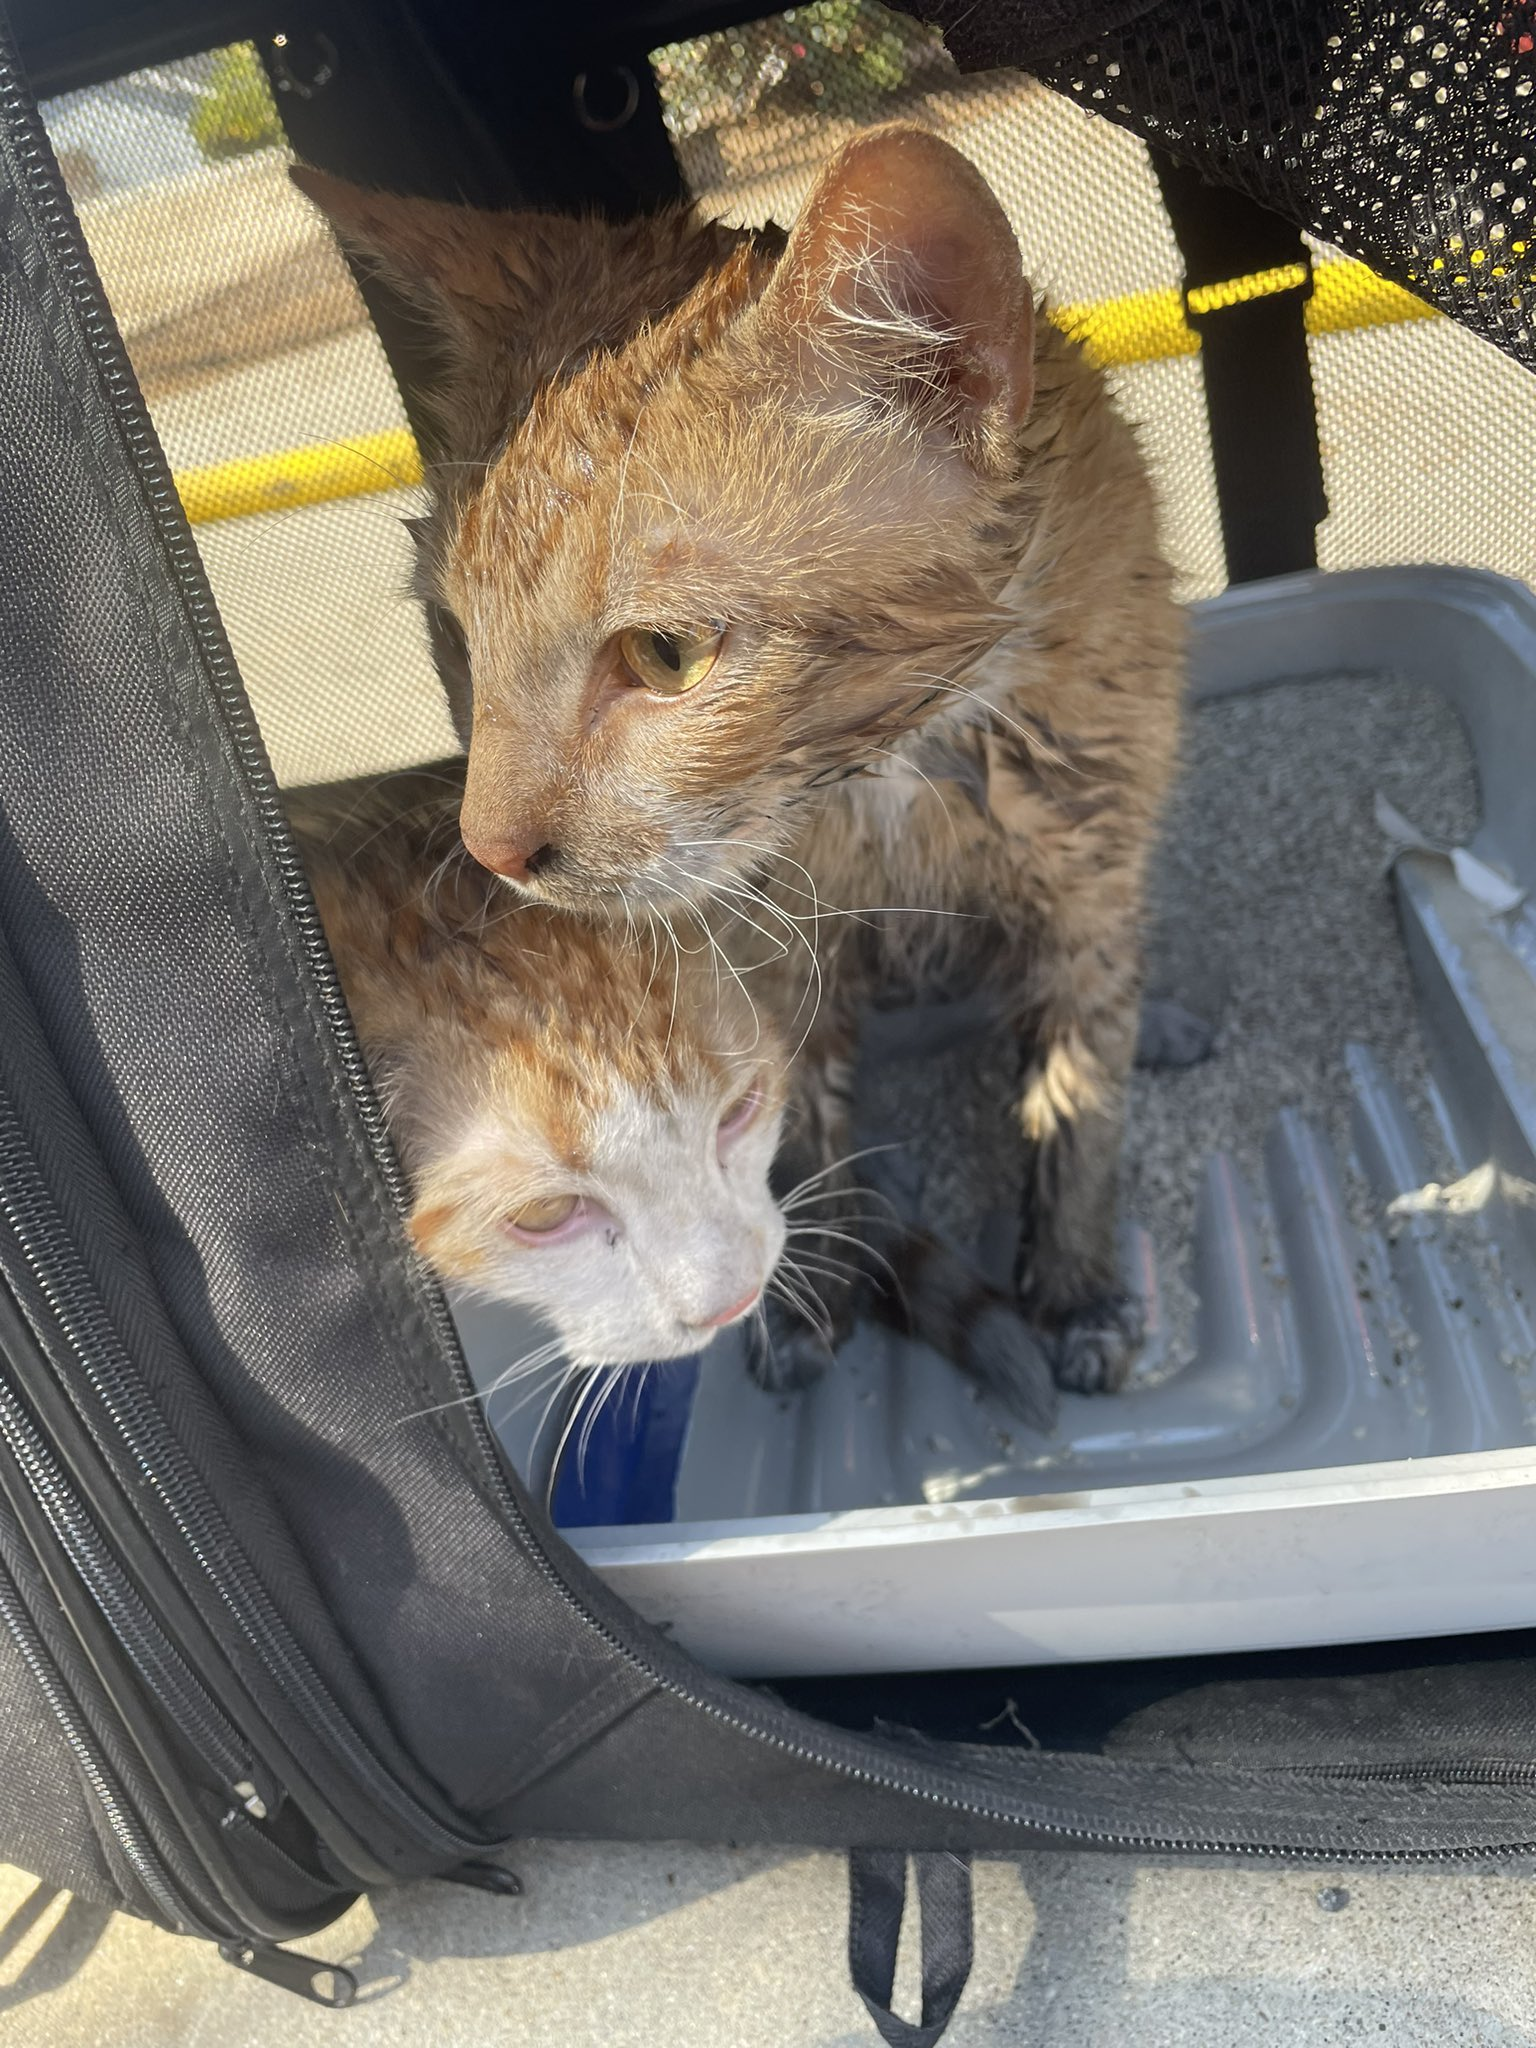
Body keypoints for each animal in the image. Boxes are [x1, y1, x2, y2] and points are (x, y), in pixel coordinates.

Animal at [296, 128, 1187, 1400]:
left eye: (666, 655)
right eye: (457, 640)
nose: (489, 848)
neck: (885, 780)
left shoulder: (1089, 874)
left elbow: (1083, 1092)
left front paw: (1074, 1282)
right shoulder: (757, 948)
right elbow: (791, 1117)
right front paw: (811, 1289)